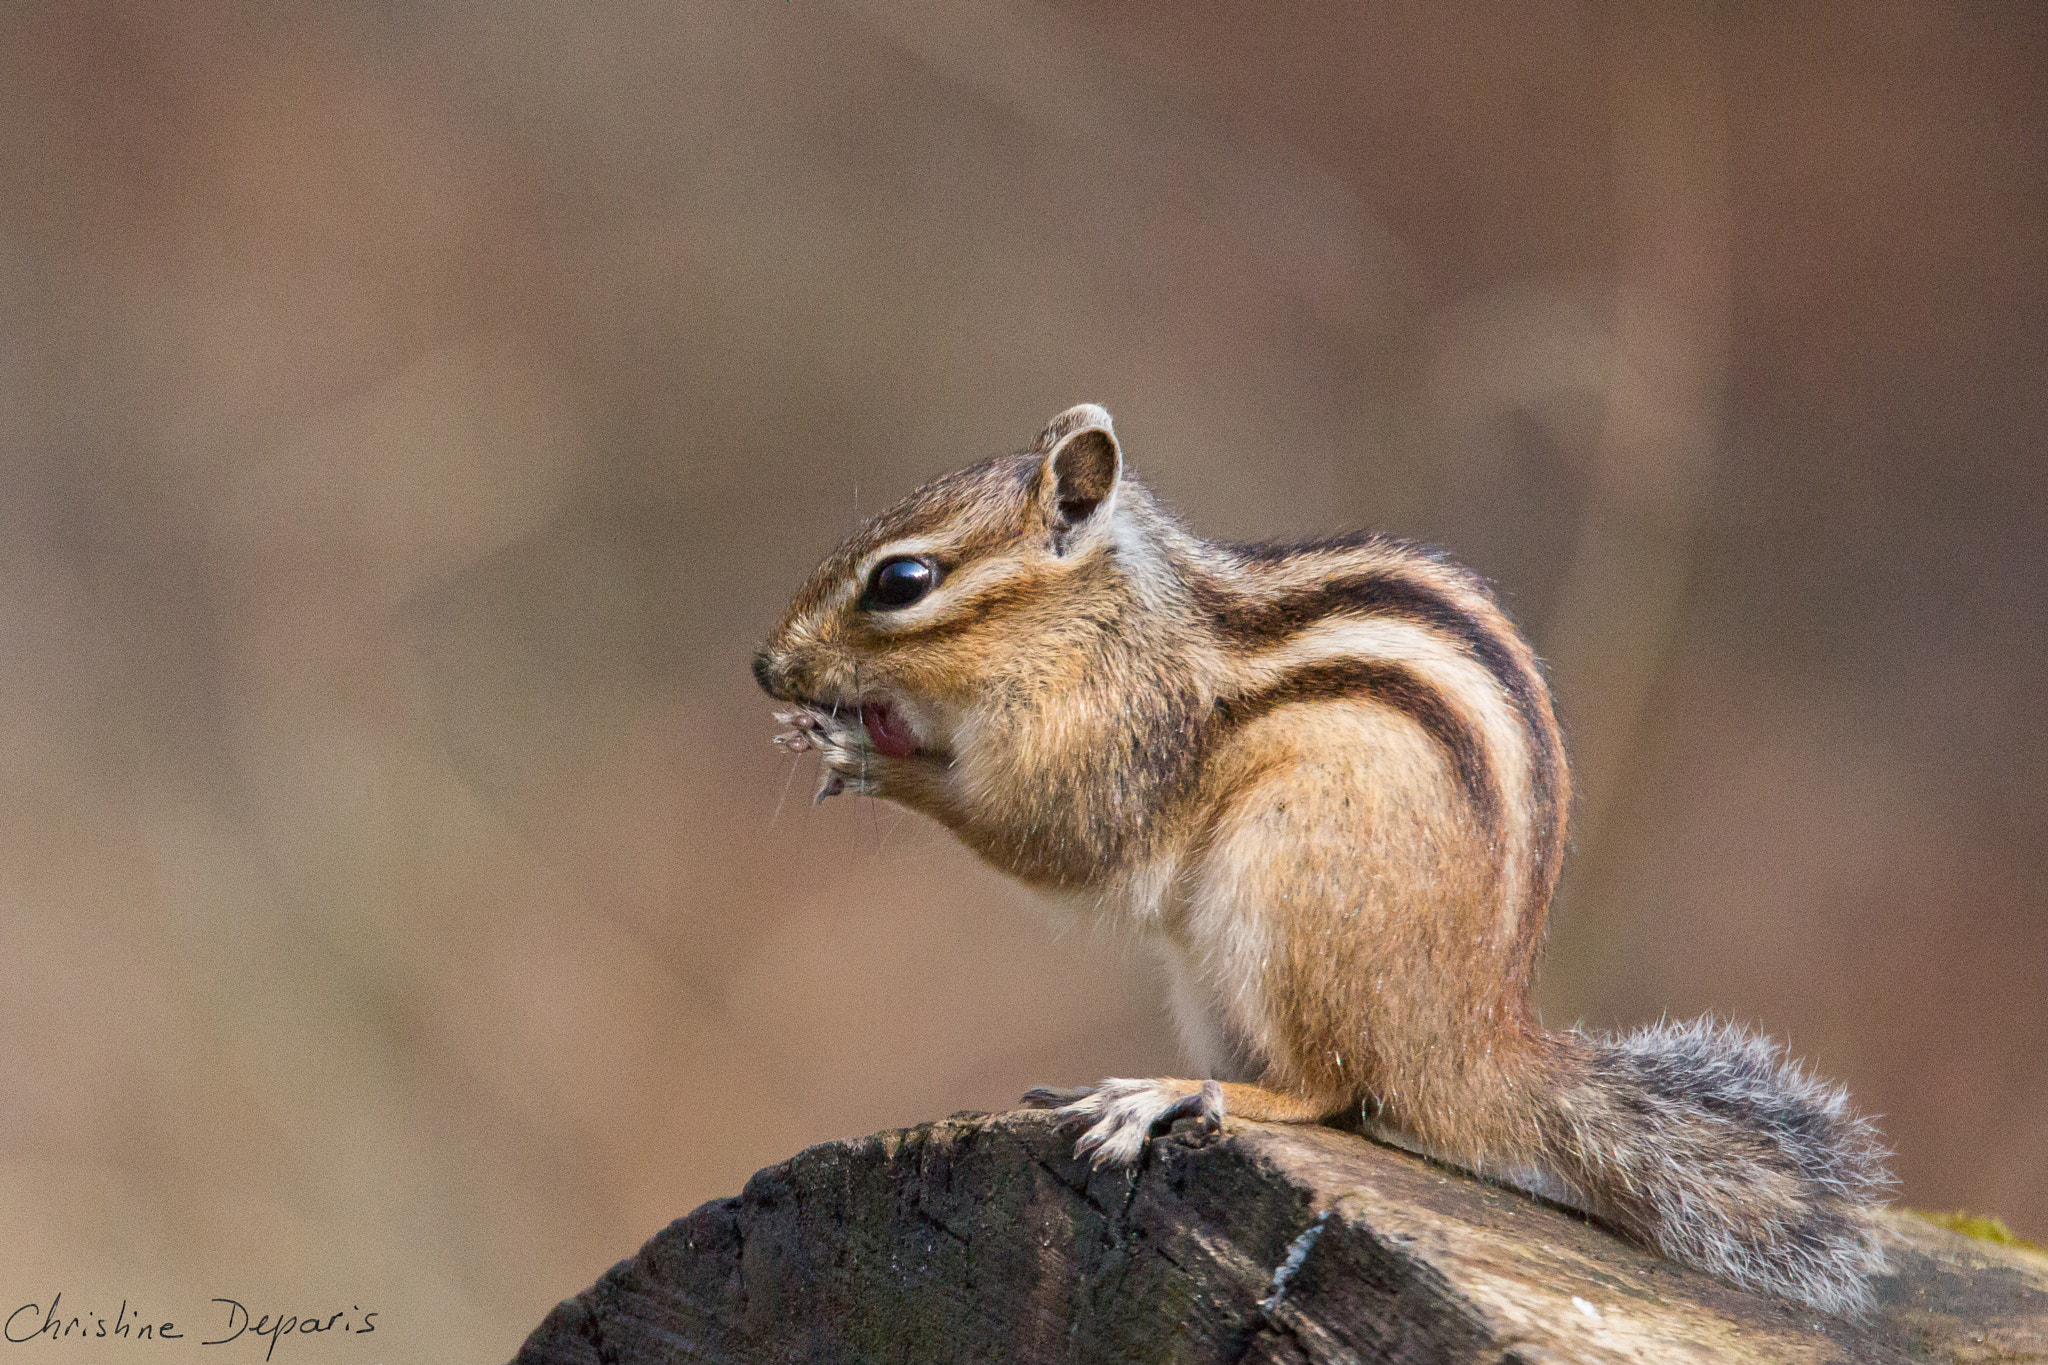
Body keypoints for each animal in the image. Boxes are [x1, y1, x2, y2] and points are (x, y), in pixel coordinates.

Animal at [752, 403, 1893, 1316]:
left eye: (902, 581)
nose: (765, 666)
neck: (1098, 621)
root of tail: (1473, 1041)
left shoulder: (1116, 738)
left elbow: (1054, 832)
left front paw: (869, 753)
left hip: (1281, 898)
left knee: (1330, 1094)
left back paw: (1167, 1094)